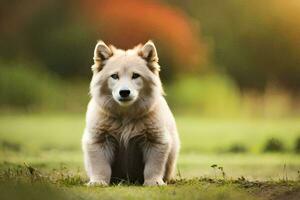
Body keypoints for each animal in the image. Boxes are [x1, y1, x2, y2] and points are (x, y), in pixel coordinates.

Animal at [81, 40, 180, 186]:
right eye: (114, 76)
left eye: (135, 75)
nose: (124, 92)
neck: (126, 116)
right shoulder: (99, 141)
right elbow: (101, 167)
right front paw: (98, 182)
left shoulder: (156, 142)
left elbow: (153, 167)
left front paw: (154, 182)